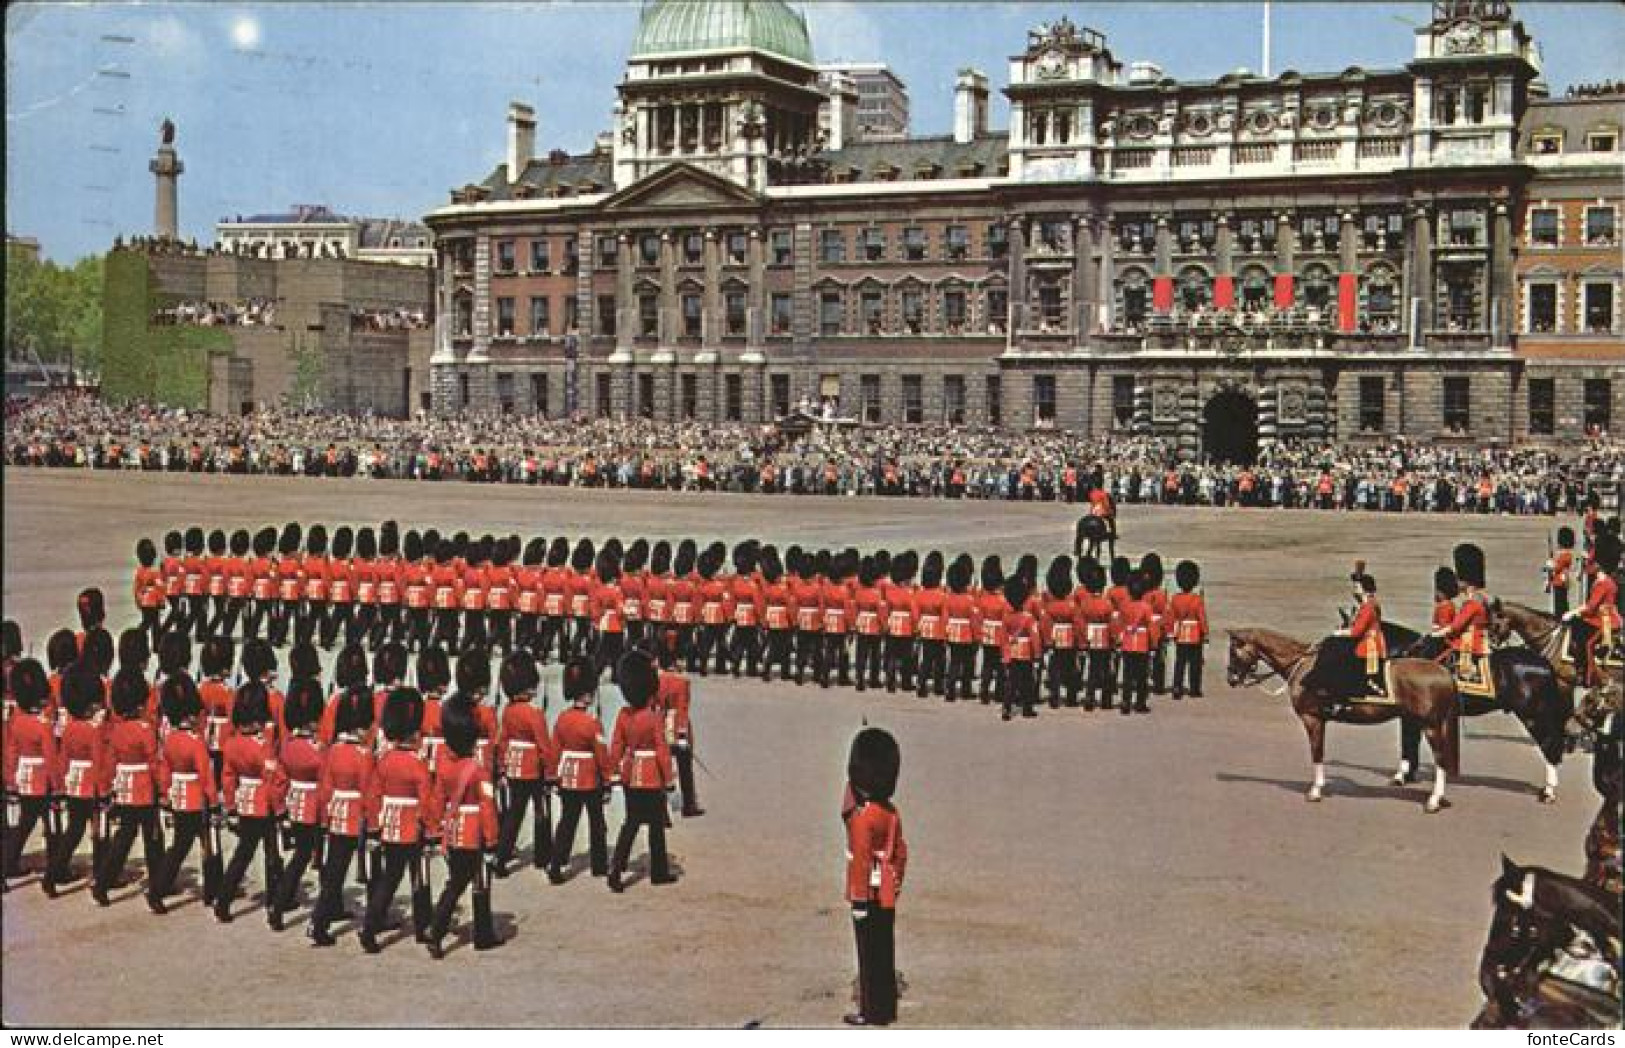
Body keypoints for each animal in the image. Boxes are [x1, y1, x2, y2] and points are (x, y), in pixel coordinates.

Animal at [1228, 623, 1462, 812]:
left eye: (1233, 651)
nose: (1231, 678)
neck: (1303, 665)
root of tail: (1444, 671)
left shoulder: (1312, 719)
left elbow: (1317, 752)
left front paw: (1316, 790)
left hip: (1430, 726)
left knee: (1440, 760)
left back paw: (1434, 800)